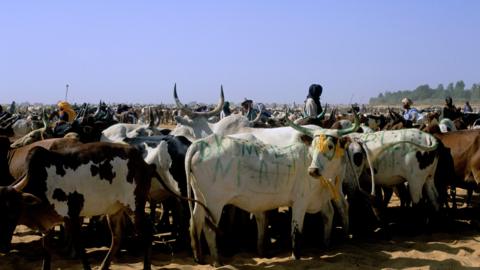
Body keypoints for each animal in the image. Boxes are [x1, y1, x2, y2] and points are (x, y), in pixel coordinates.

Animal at [0, 142, 172, 268]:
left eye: (11, 211)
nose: (2, 248)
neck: (40, 181)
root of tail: (145, 164)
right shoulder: (47, 227)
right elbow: (47, 255)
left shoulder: (72, 217)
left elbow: (80, 250)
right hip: (114, 211)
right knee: (117, 238)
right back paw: (103, 266)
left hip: (135, 207)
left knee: (147, 234)